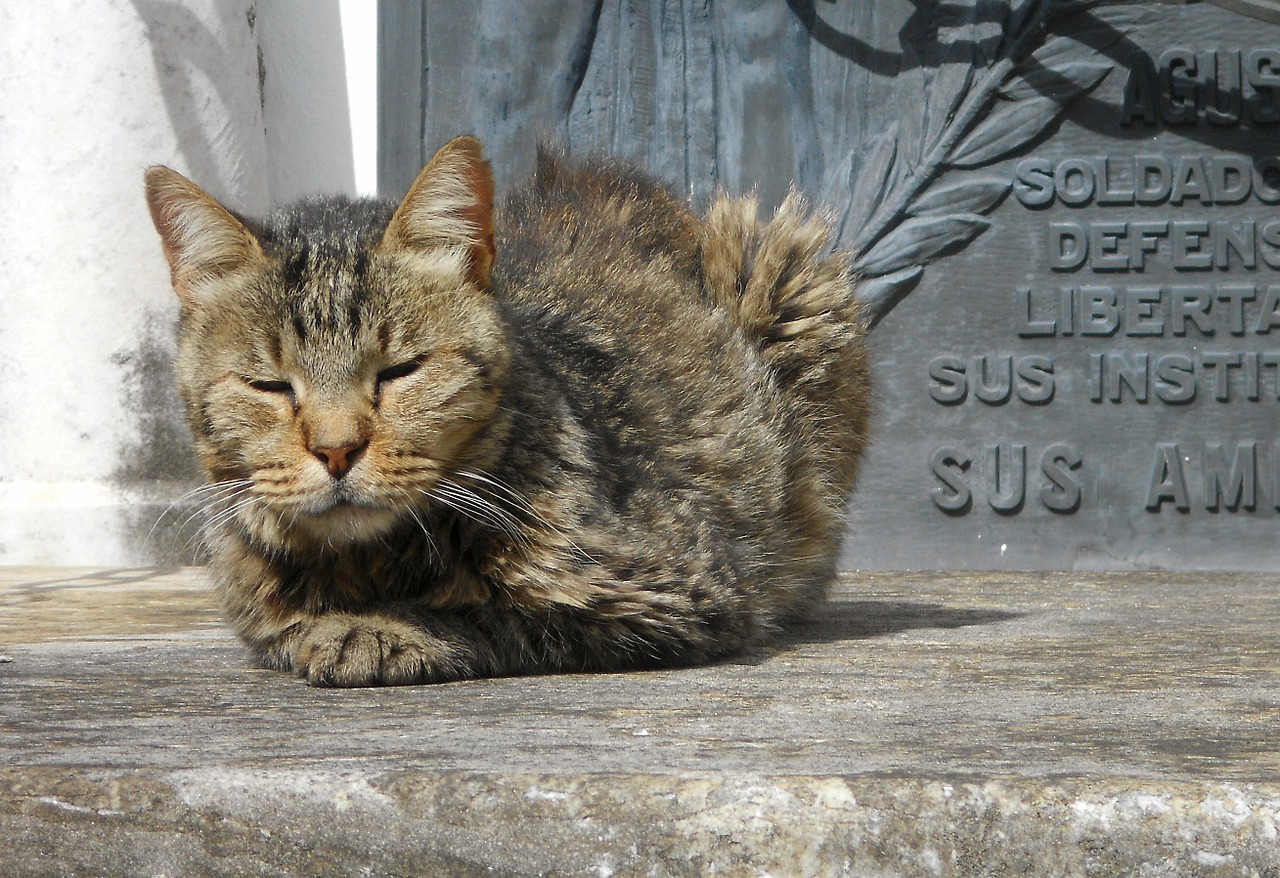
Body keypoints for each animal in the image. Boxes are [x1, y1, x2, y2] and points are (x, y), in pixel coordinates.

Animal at [145, 135, 875, 686]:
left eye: (400, 371)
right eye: (269, 385)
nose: (336, 449)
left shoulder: (679, 590)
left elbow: (495, 612)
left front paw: (380, 628)